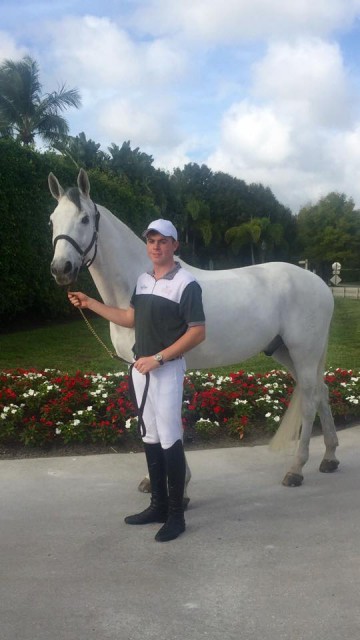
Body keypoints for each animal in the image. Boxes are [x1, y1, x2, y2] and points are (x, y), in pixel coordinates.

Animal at [48, 168, 340, 488]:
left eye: (85, 219)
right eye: (52, 219)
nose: (61, 269)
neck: (139, 286)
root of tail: (318, 283)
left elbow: (169, 417)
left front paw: (180, 481)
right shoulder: (135, 366)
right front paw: (153, 480)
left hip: (304, 352)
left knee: (310, 399)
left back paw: (296, 469)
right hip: (284, 351)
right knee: (322, 392)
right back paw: (330, 457)